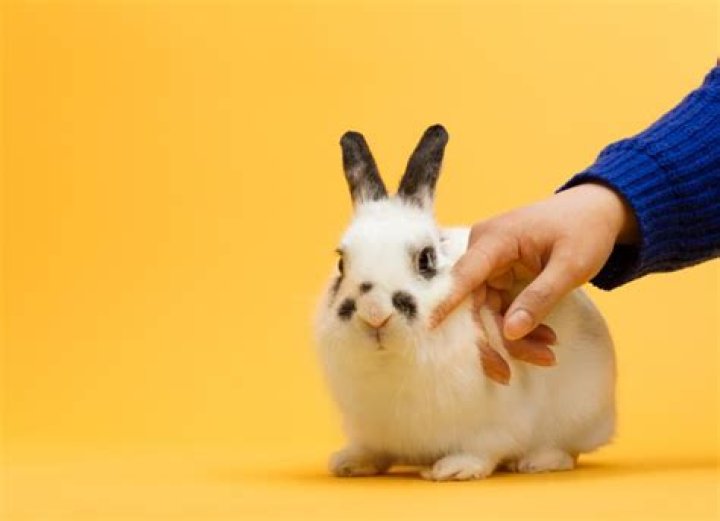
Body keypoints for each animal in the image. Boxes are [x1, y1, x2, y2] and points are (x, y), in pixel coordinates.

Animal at [314, 125, 616, 481]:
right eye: (341, 263)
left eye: (426, 259)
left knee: (569, 450)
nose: (374, 313)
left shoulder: (495, 422)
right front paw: (351, 462)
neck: (389, 361)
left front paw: (453, 469)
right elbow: (376, 450)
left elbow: (482, 450)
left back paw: (537, 461)